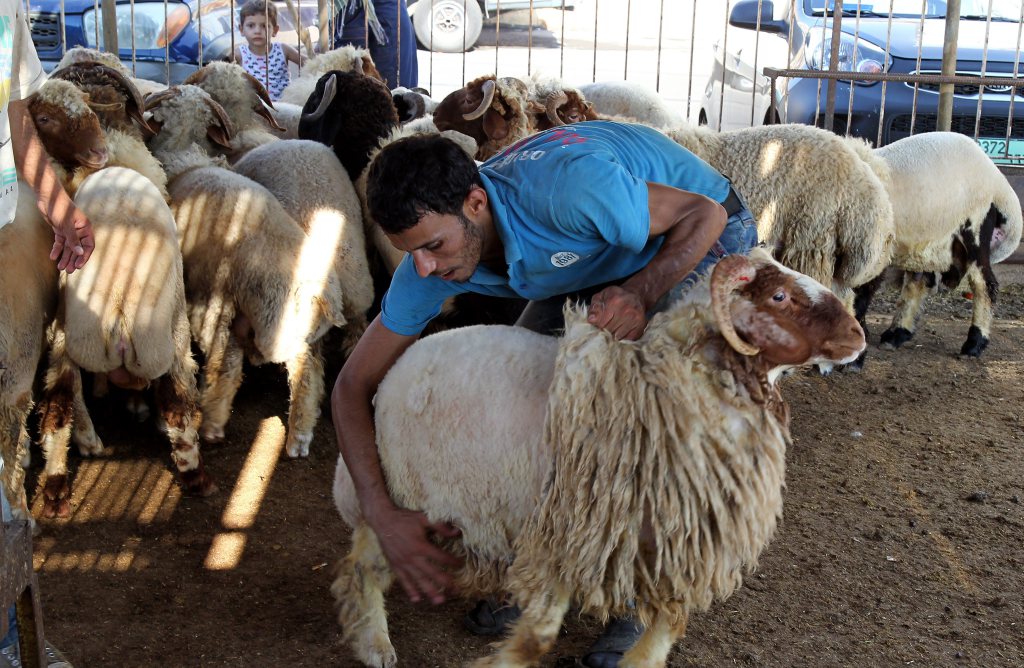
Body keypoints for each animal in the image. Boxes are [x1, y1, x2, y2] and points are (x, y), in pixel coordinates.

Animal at [34, 165, 216, 516]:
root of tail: (119, 299)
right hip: (171, 337)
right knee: (177, 406)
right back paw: (196, 476)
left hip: (70, 333)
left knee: (60, 403)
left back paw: (57, 485)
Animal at [145, 83, 348, 456]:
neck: (185, 158)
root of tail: (320, 292)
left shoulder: (213, 300)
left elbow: (225, 361)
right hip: (299, 327)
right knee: (312, 368)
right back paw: (300, 433)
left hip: (266, 322)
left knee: (271, 364)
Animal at [331, 247, 868, 663]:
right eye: (778, 296)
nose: (858, 337)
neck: (661, 390)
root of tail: (395, 371)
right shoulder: (574, 532)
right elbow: (537, 636)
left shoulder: (672, 542)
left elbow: (666, 626)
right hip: (400, 494)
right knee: (364, 566)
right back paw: (375, 643)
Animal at [851, 132, 1019, 356]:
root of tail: (999, 182)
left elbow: (862, 289)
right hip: (925, 240)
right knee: (919, 282)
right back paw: (897, 333)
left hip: (974, 228)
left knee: (985, 285)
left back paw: (974, 344)